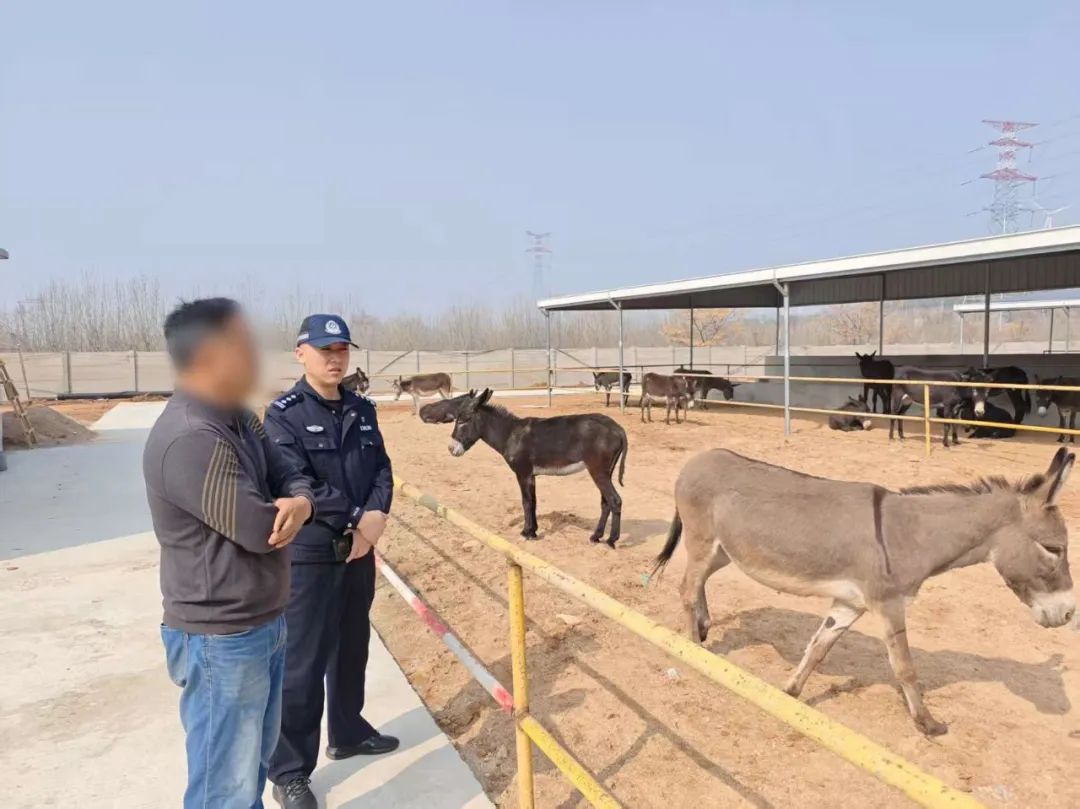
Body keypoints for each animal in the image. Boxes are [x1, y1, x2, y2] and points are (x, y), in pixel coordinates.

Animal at [448, 389, 628, 546]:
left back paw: (611, 540)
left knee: (615, 500)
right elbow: (533, 501)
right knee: (605, 502)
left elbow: (526, 502)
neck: (510, 434)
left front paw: (526, 533)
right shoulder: (531, 475)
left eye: (463, 420)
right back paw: (596, 536)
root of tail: (617, 428)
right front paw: (533, 531)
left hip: (598, 471)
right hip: (606, 471)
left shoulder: (523, 473)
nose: (450, 449)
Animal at [654, 447, 1076, 736]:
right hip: (703, 541)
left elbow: (818, 648)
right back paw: (694, 647)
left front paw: (790, 692)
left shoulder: (850, 602)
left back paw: (704, 626)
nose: (1070, 613)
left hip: (725, 551)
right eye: (1054, 549)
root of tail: (698, 457)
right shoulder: (889, 604)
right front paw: (928, 723)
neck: (910, 534)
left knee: (699, 582)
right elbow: (905, 666)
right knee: (686, 587)